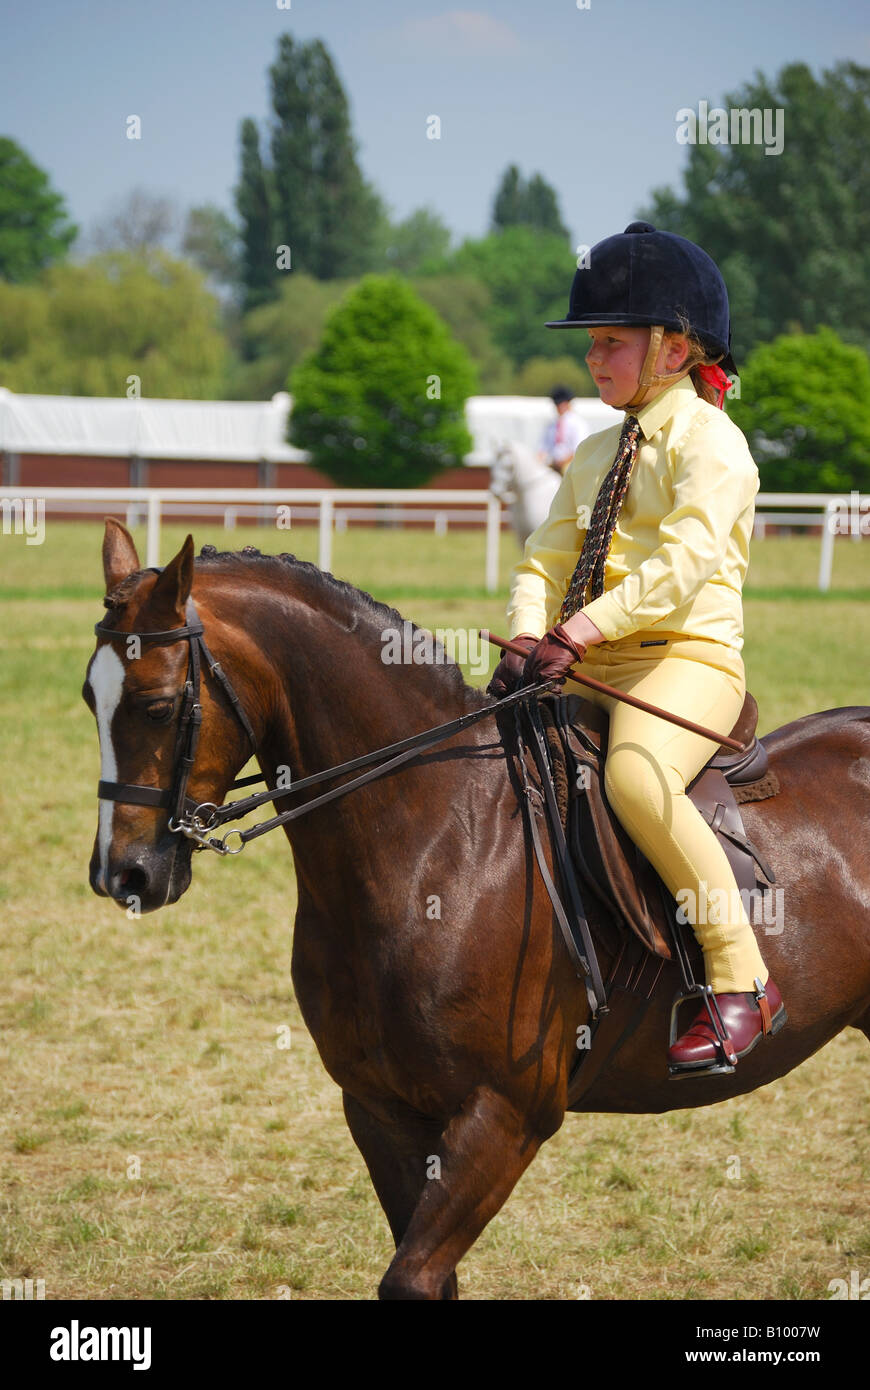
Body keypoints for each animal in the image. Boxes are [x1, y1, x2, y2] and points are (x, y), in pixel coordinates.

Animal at [83, 522, 867, 1301]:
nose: (123, 874)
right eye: (90, 699)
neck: (438, 840)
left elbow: (411, 1279)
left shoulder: (505, 1115)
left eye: (157, 705)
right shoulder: (381, 1112)